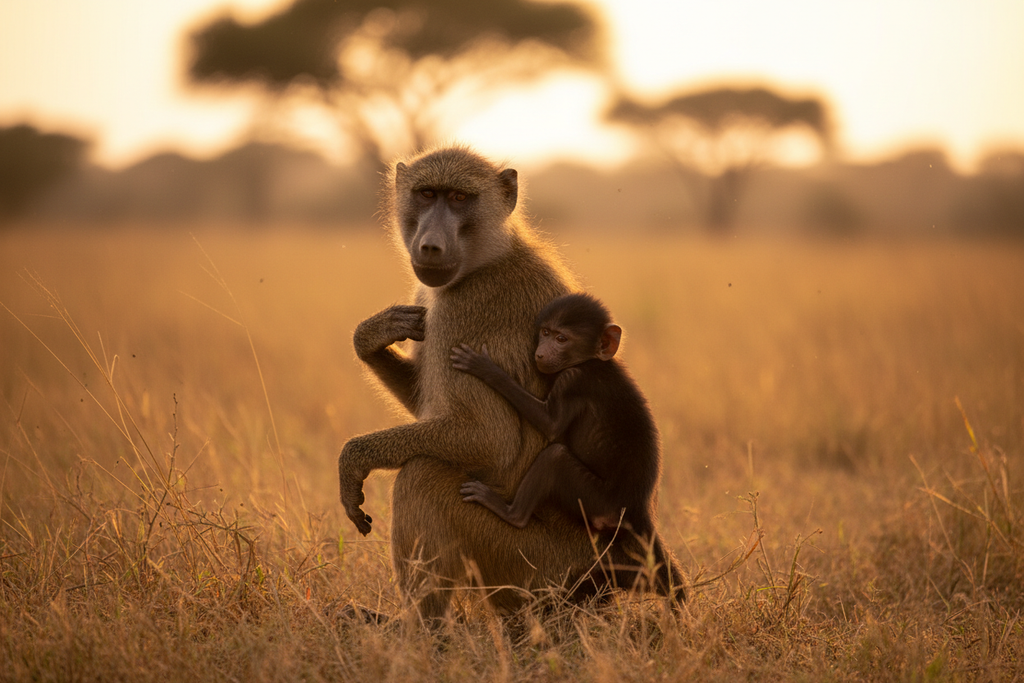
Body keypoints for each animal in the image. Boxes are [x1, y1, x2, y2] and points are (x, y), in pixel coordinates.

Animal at [451, 293, 684, 601]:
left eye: (561, 338)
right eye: (545, 333)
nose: (540, 353)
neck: (592, 361)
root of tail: (638, 507)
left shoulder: (573, 380)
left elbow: (549, 424)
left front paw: (487, 370)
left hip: (598, 501)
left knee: (555, 457)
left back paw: (509, 512)